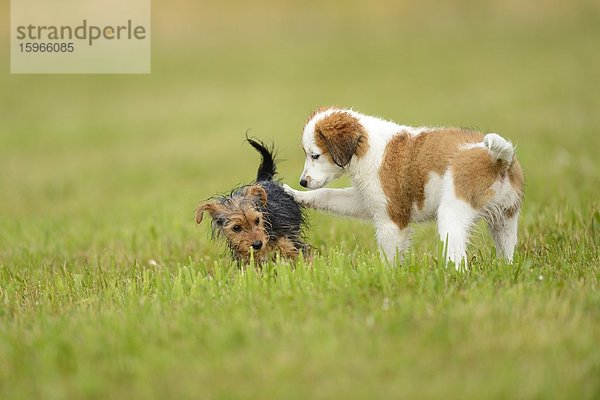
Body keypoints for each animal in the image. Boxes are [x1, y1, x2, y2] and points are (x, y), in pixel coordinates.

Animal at [284, 108, 524, 268]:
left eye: (315, 155)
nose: (303, 182)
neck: (369, 147)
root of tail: (497, 159)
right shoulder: (368, 201)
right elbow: (328, 195)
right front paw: (294, 194)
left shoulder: (391, 217)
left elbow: (389, 255)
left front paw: (387, 277)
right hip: (505, 219)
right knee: (507, 250)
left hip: (451, 214)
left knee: (457, 258)